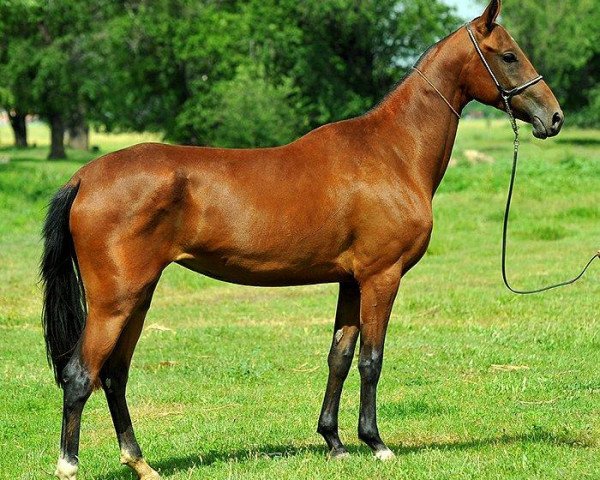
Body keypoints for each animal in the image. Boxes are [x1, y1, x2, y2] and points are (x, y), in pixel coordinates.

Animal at [42, 1, 564, 478]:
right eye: (509, 55)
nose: (554, 117)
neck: (392, 152)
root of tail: (84, 177)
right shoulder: (382, 277)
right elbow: (371, 360)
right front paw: (375, 443)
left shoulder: (351, 281)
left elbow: (339, 356)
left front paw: (334, 442)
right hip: (115, 301)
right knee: (80, 375)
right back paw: (69, 465)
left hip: (139, 296)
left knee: (114, 375)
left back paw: (140, 463)